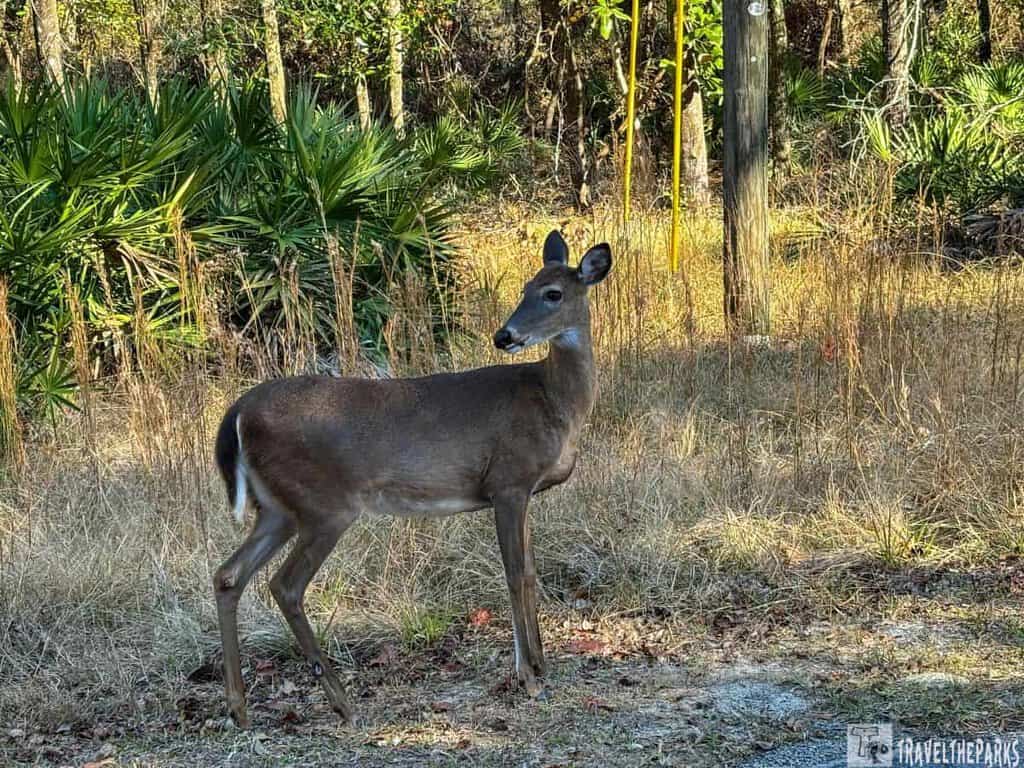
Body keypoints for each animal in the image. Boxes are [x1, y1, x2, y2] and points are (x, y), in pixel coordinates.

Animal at [212, 230, 612, 727]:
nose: (504, 336)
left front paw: (540, 664)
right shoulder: (508, 481)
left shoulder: (525, 492)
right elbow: (515, 574)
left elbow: (531, 572)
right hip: (325, 505)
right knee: (285, 586)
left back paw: (239, 707)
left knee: (228, 574)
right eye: (525, 289)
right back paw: (342, 704)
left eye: (552, 292)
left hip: (278, 508)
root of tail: (237, 413)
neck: (556, 401)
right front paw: (530, 677)